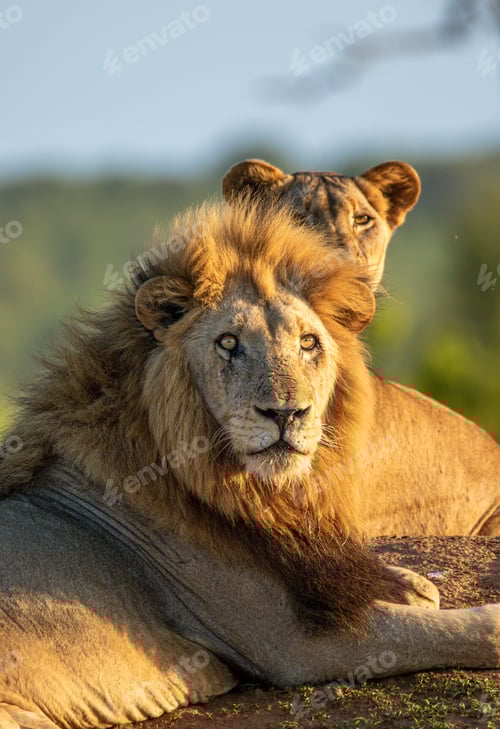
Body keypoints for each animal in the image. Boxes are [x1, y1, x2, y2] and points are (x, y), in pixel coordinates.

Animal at [0, 200, 498, 729]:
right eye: (228, 343)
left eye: (308, 343)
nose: (285, 413)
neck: (258, 494)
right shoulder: (292, 643)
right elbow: (457, 630)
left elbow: (412, 589)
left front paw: (410, 585)